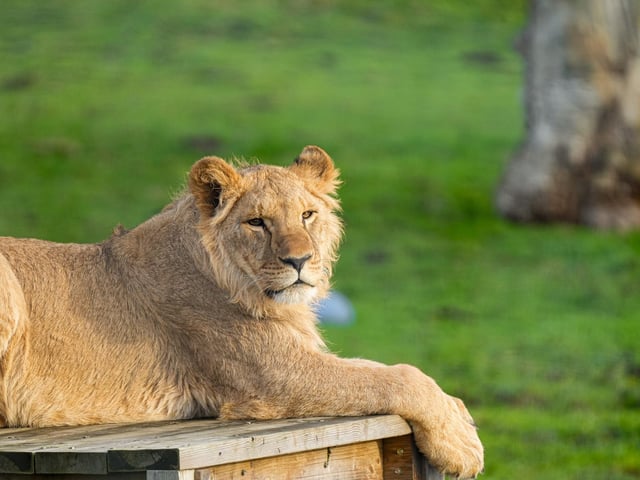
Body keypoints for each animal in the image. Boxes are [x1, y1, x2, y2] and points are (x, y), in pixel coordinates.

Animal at [0, 146, 483, 478]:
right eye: (257, 222)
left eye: (307, 215)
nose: (299, 261)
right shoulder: (275, 376)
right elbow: (397, 376)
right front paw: (461, 441)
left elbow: (381, 370)